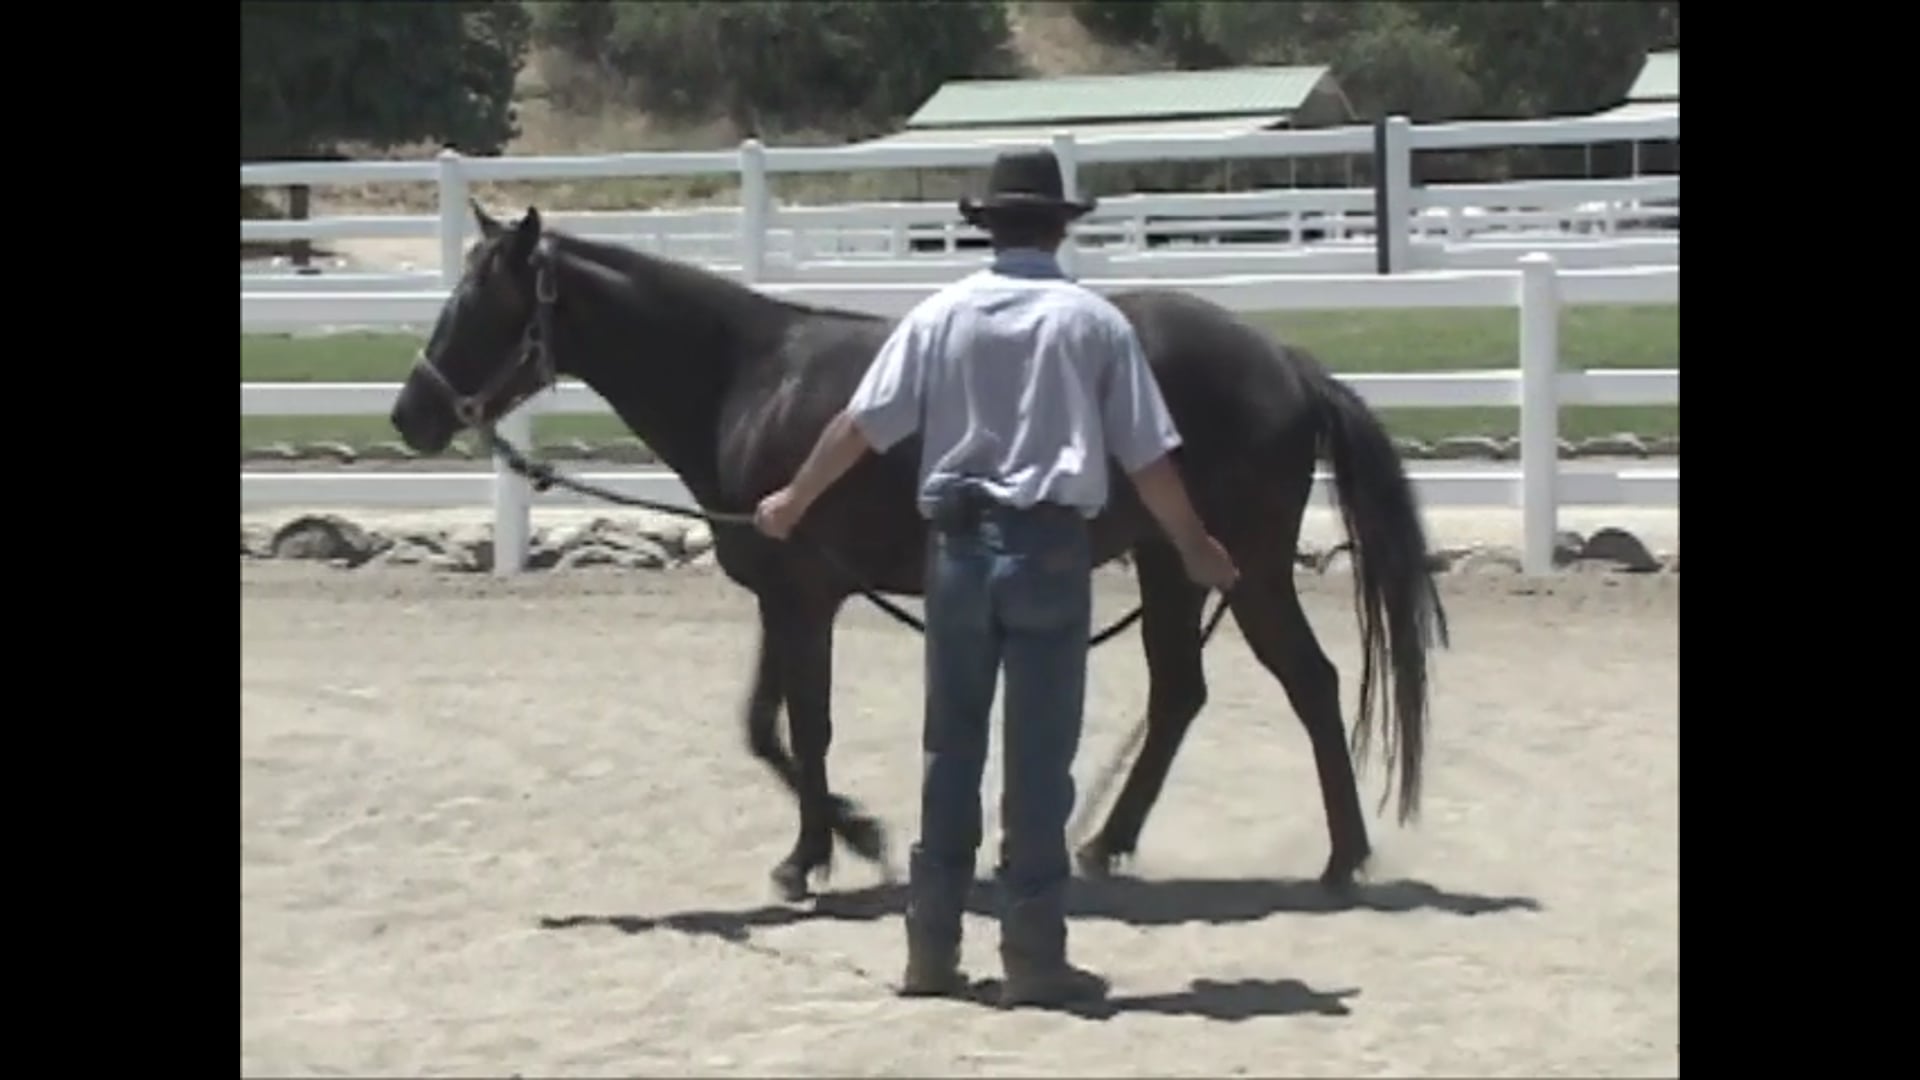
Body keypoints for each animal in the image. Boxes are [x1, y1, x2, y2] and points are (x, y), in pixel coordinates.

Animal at [389, 202, 1450, 903]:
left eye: (480, 303)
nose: (411, 414)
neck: (749, 379)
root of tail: (1287, 362)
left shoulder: (805, 598)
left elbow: (805, 727)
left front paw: (821, 850)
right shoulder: (784, 593)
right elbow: (763, 726)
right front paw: (844, 835)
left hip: (1247, 568)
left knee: (1309, 684)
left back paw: (1343, 859)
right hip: (1173, 565)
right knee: (1179, 694)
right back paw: (1105, 845)